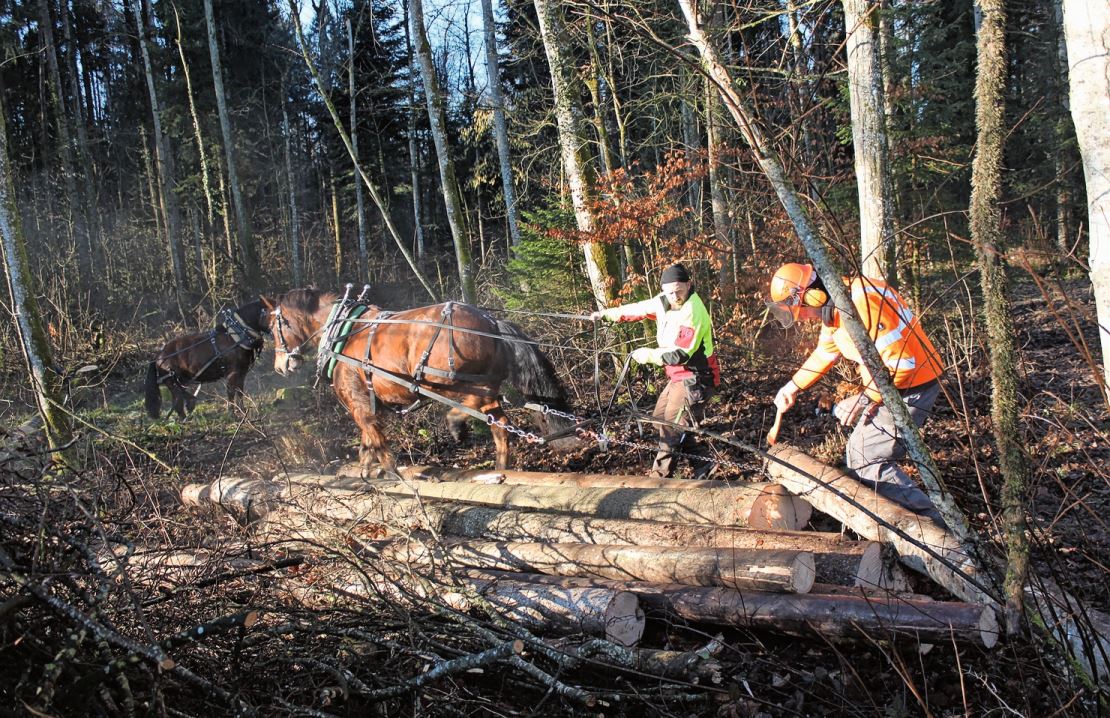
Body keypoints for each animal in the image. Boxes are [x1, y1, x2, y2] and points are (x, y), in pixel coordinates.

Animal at [259, 286, 572, 477]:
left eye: (273, 327)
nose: (280, 366)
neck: (343, 333)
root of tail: (492, 323)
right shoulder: (366, 404)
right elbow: (366, 444)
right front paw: (365, 472)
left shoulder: (358, 403)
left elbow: (377, 442)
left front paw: (392, 475)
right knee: (500, 424)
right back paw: (500, 469)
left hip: (444, 379)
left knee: (481, 405)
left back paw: (456, 425)